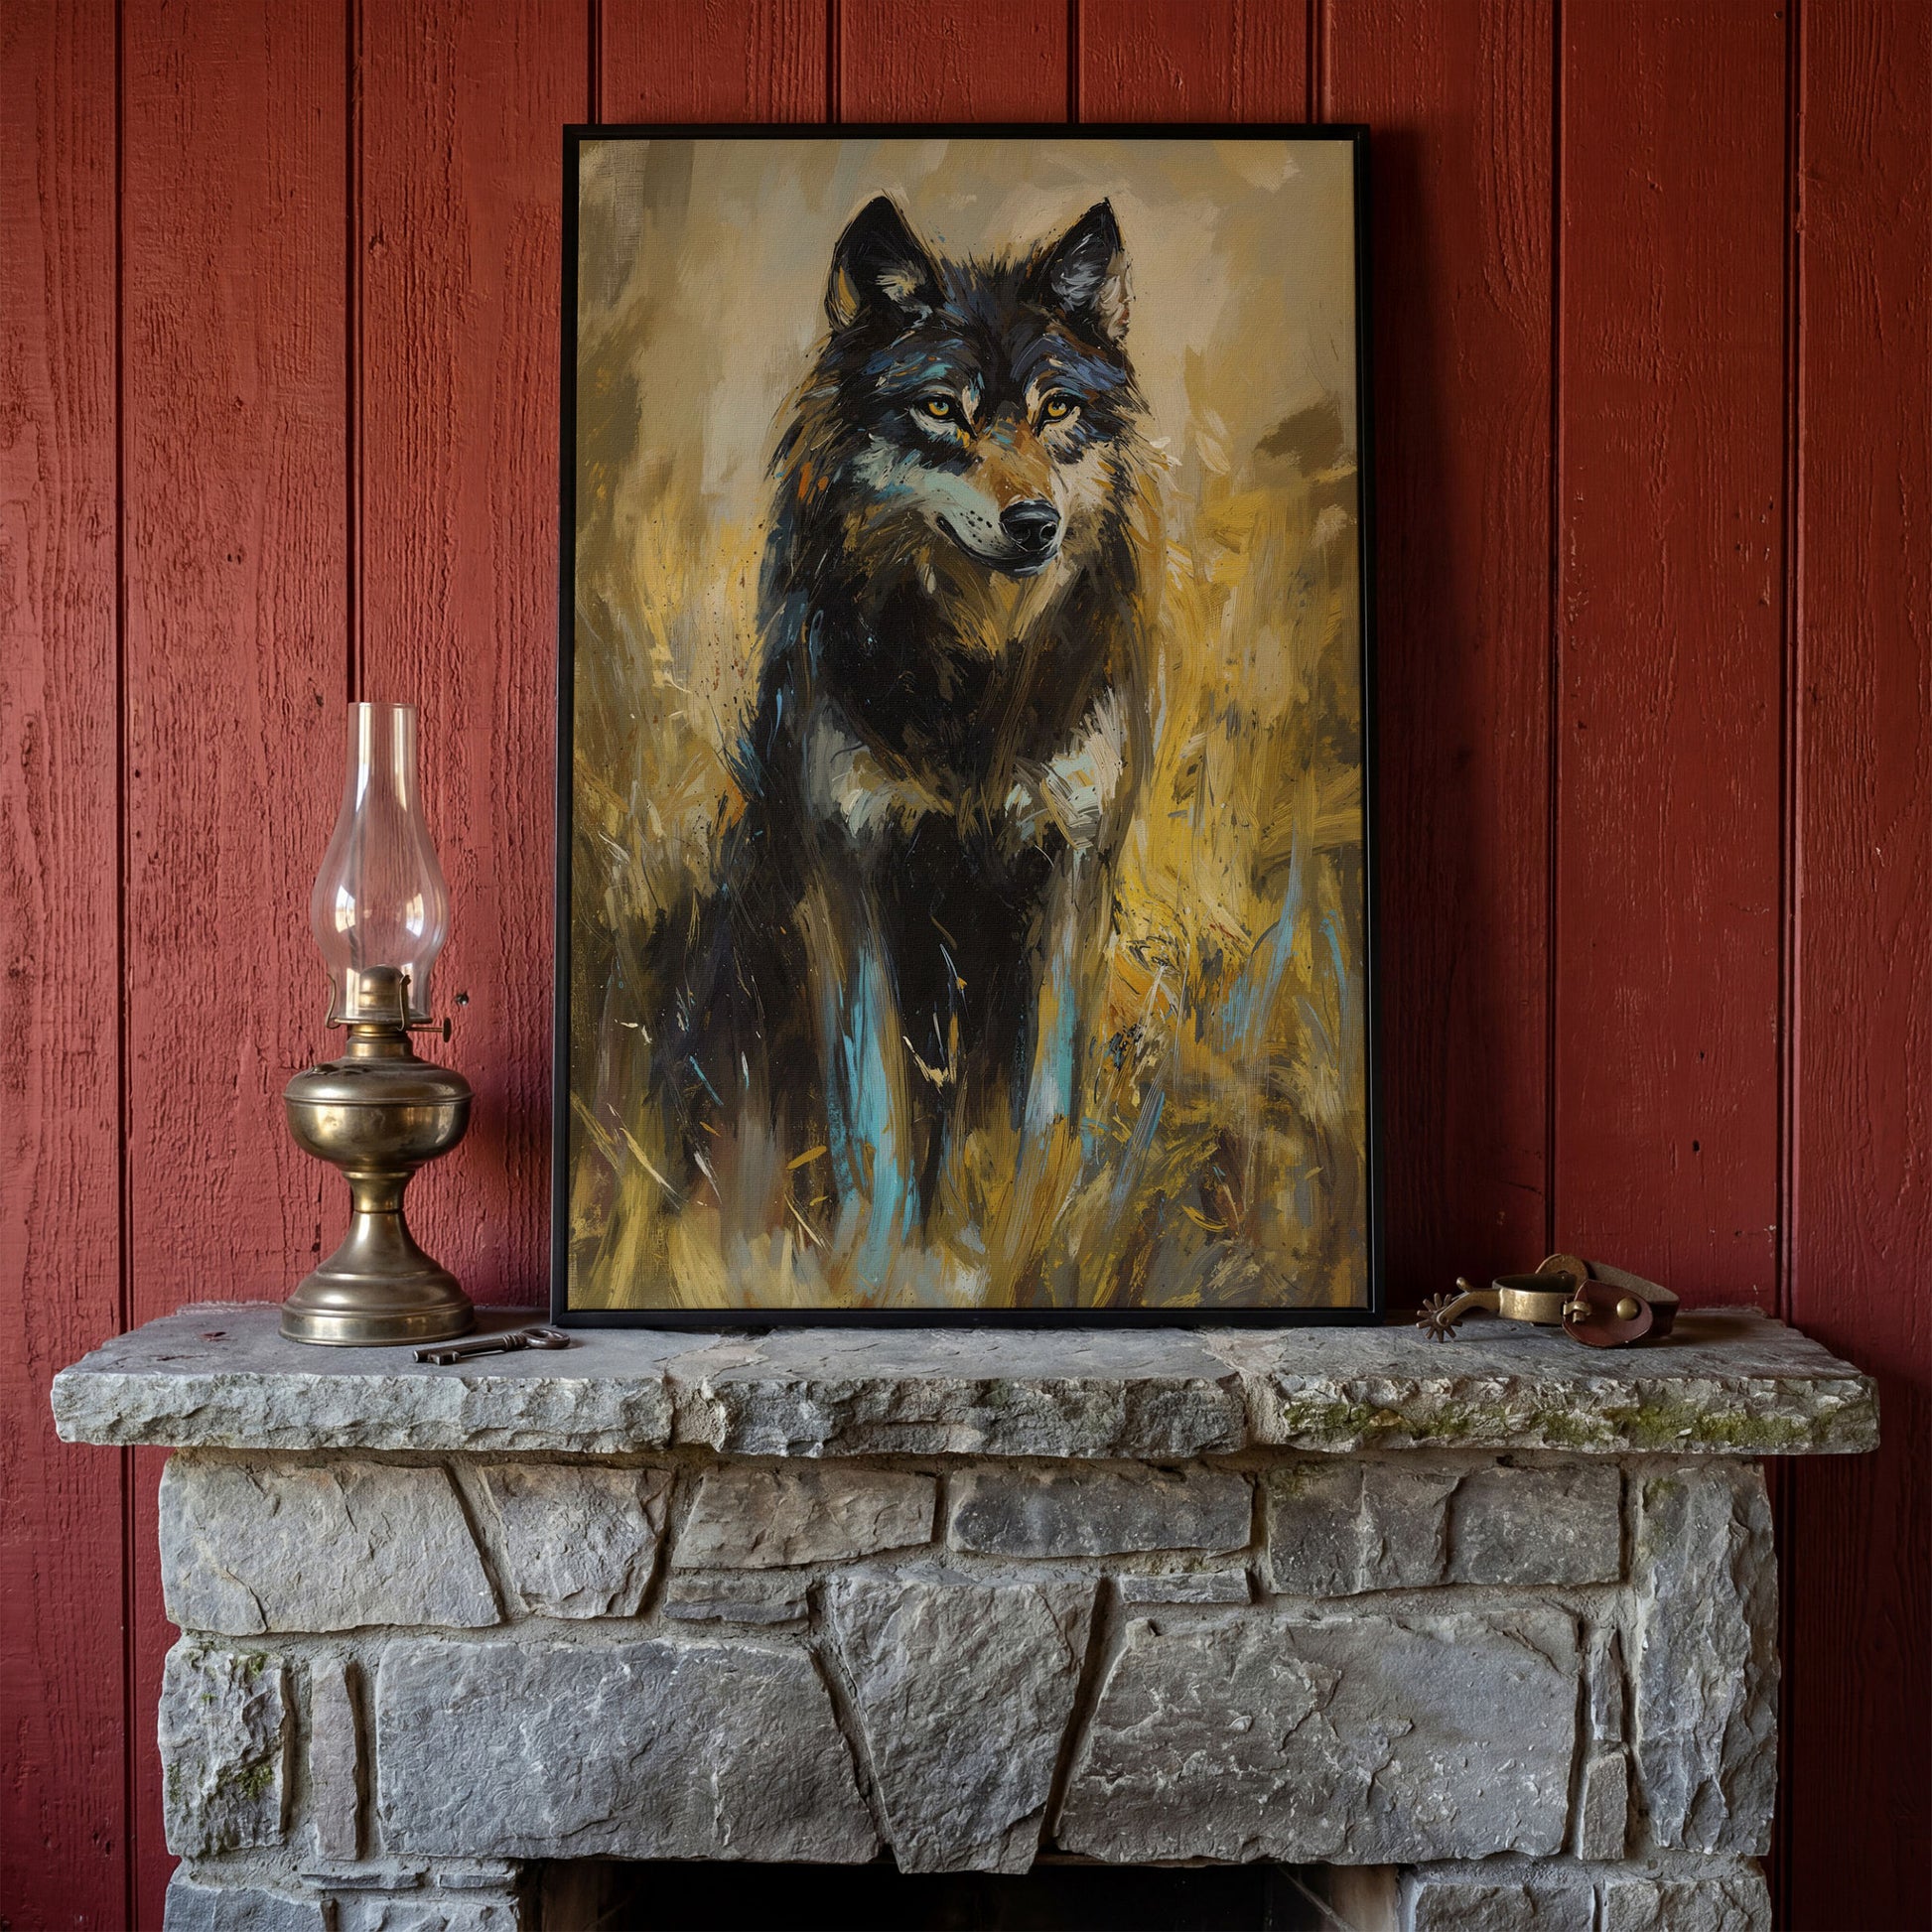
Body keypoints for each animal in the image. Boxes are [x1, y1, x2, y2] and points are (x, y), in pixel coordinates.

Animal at [658, 194, 1153, 1278]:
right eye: (939, 409)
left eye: (1058, 410)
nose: (1034, 523)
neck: (973, 685)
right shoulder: (846, 871)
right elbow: (874, 1103)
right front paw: (872, 1263)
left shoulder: (1072, 869)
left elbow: (1046, 1105)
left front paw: (1030, 1243)